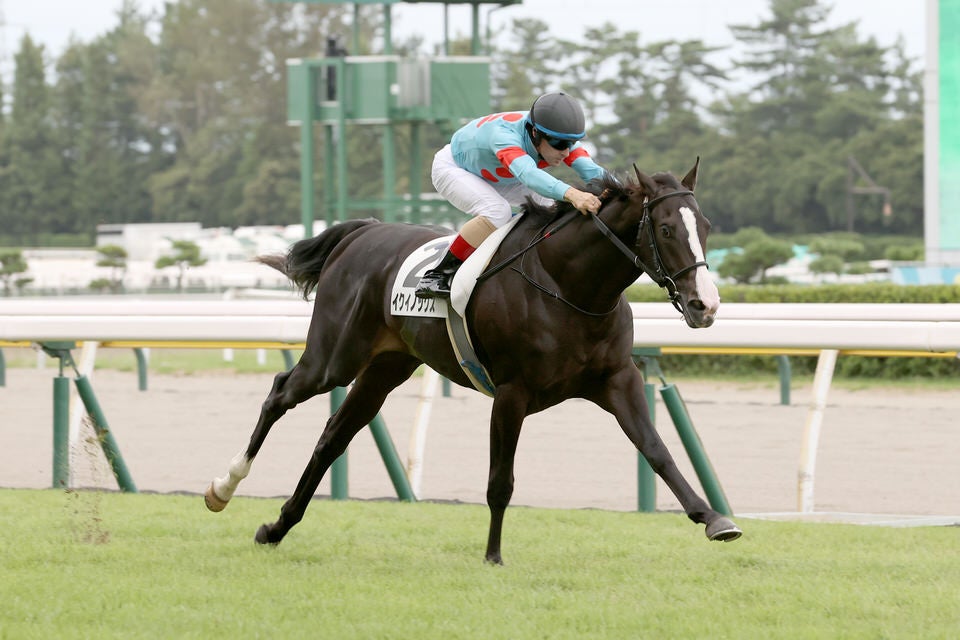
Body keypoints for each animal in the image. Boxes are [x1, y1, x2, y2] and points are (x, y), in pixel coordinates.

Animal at [205, 158, 742, 564]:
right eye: (666, 228)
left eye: (706, 227)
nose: (705, 306)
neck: (568, 286)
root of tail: (360, 234)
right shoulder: (512, 393)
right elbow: (500, 480)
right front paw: (493, 555)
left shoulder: (616, 380)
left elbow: (657, 450)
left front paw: (714, 518)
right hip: (334, 357)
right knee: (280, 392)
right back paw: (223, 486)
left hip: (385, 367)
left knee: (333, 437)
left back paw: (277, 527)